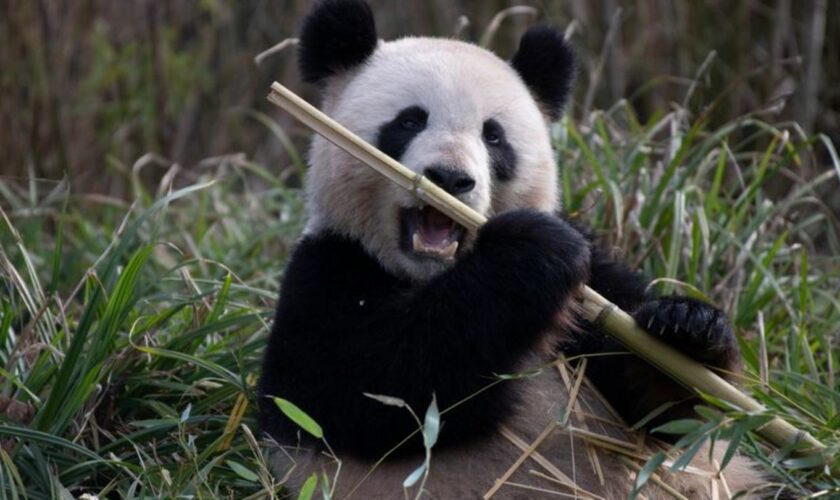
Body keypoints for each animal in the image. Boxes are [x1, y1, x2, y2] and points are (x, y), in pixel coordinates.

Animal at [260, 1, 768, 498]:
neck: (431, 274)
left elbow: (666, 416)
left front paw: (687, 329)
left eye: (493, 135)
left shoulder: (596, 285)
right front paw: (531, 251)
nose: (450, 178)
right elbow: (365, 391)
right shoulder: (327, 269)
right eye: (409, 120)